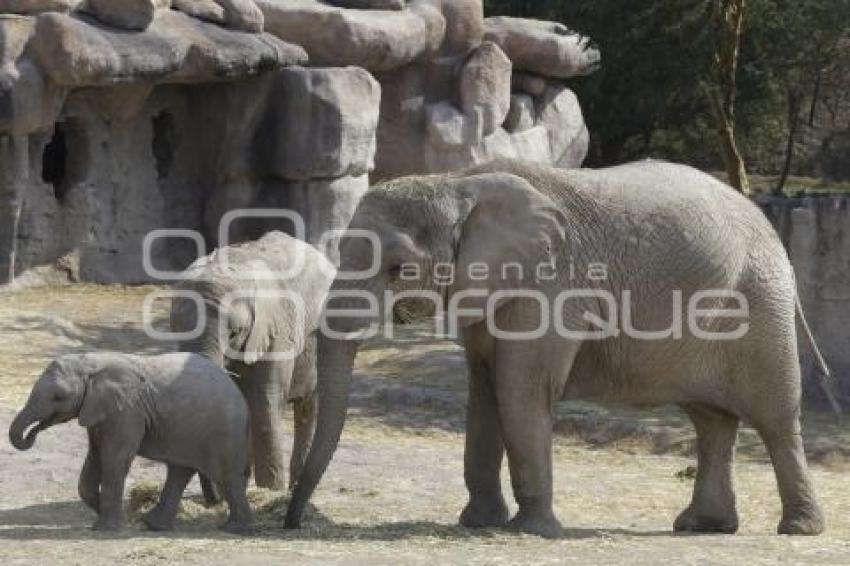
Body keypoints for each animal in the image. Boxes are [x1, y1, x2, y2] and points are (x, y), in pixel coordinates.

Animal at [9, 352, 250, 536]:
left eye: (58, 397)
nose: (32, 433)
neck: (91, 362)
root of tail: (235, 386)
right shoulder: (99, 410)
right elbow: (94, 458)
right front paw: (106, 517)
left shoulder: (127, 411)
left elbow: (115, 458)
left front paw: (106, 528)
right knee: (180, 471)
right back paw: (153, 525)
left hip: (224, 429)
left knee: (226, 476)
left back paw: (235, 529)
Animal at [171, 231, 332, 492]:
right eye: (177, 330)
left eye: (235, 333)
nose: (213, 498)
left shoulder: (276, 331)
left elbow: (263, 401)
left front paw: (270, 490)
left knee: (308, 405)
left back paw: (294, 487)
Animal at [282, 161, 824, 540]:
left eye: (398, 269)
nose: (291, 521)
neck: (459, 182)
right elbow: (484, 390)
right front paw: (479, 523)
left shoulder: (552, 283)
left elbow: (519, 389)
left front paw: (532, 531)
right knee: (711, 420)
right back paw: (701, 526)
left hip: (759, 304)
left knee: (775, 418)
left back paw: (797, 529)